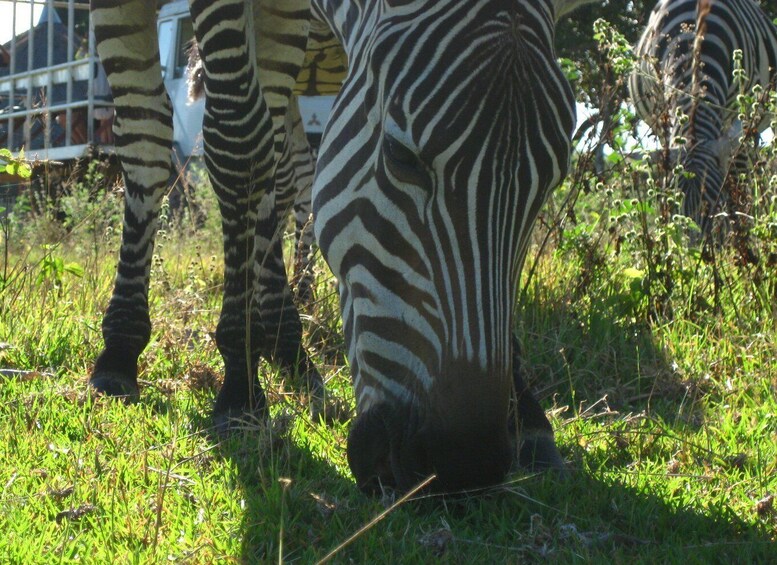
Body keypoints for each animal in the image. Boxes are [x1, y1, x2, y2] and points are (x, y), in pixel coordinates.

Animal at [92, 0, 596, 494]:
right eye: (400, 156)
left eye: (551, 182)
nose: (463, 464)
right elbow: (231, 142)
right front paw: (237, 385)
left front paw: (528, 416)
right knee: (163, 141)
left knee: (281, 164)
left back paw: (289, 348)